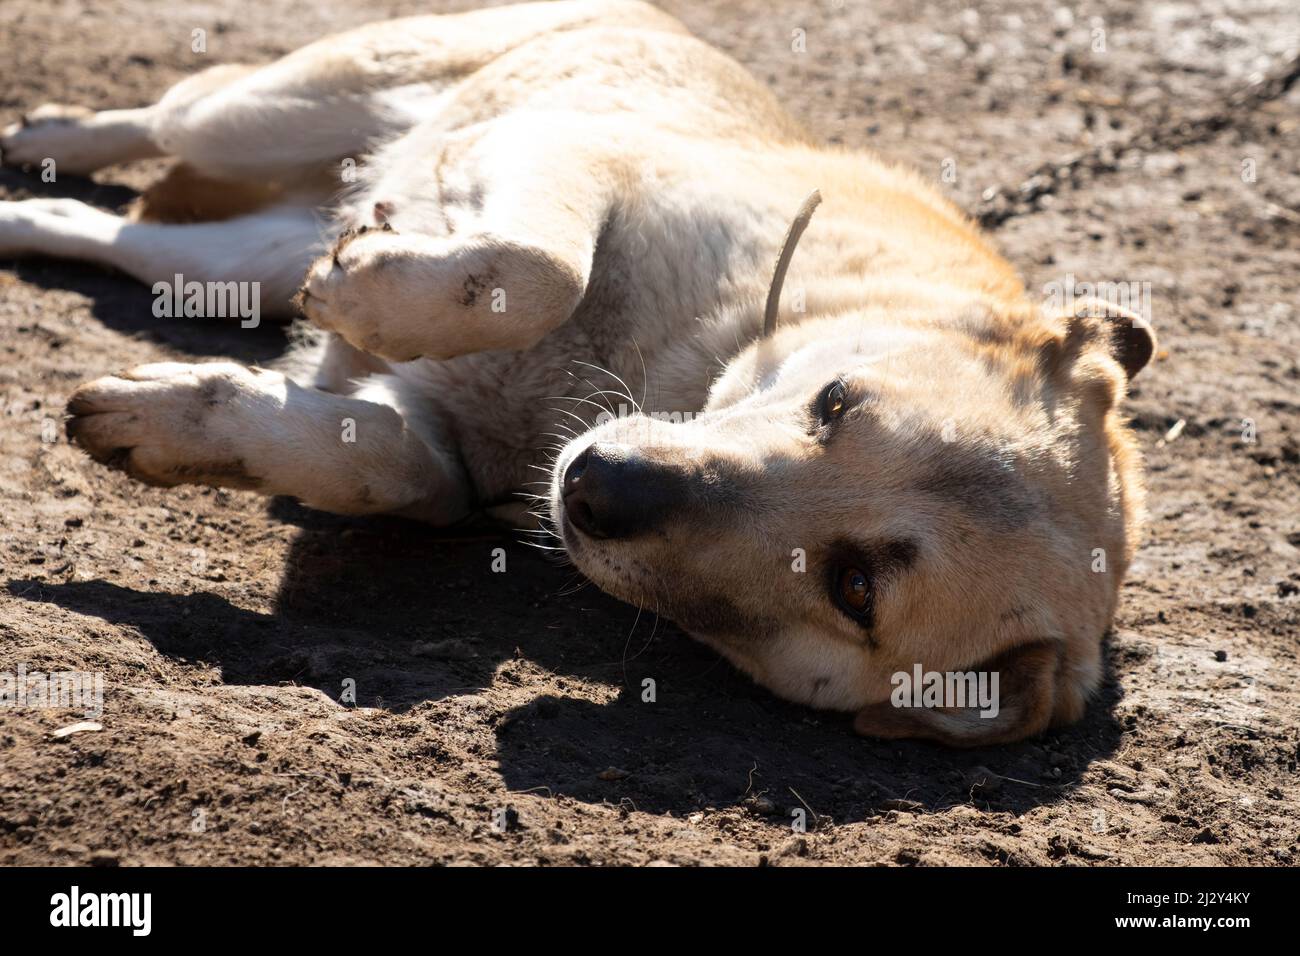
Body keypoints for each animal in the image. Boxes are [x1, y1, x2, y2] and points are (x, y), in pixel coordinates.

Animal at [2, 0, 1159, 749]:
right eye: (838, 403)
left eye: (855, 586)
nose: (596, 485)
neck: (655, 366)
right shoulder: (578, 155)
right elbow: (539, 269)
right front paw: (371, 294)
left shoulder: (428, 443)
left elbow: (388, 466)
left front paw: (164, 422)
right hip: (269, 114)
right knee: (164, 115)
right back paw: (49, 135)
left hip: (231, 261)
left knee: (122, 237)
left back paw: (30, 218)